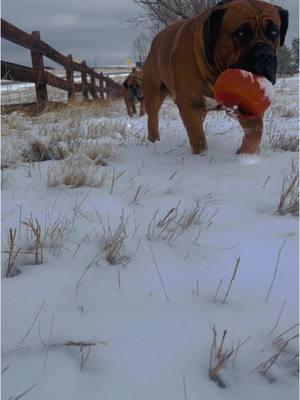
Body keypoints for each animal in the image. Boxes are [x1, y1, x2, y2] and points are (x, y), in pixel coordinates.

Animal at [143, 0, 288, 155]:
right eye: (240, 33)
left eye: (274, 32)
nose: (265, 55)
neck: (216, 73)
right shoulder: (190, 106)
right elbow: (198, 139)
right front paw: (202, 156)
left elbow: (255, 131)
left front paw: (246, 154)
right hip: (154, 94)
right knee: (153, 119)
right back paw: (153, 142)